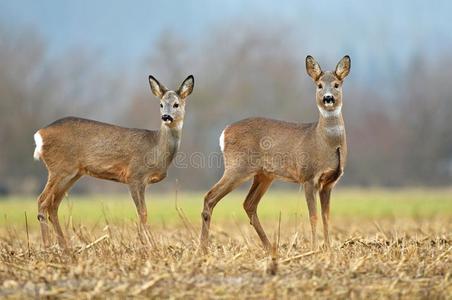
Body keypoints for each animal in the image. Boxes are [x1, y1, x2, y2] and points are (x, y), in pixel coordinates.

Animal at [33, 74, 192, 247]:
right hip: (60, 168)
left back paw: (65, 247)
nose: (166, 117)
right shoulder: (134, 175)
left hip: (72, 174)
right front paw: (149, 244)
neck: (156, 148)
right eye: (161, 104)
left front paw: (146, 242)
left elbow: (142, 213)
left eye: (176, 104)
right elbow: (143, 212)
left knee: (53, 205)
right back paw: (47, 246)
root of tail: (39, 134)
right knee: (42, 201)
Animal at [200, 55, 352, 251]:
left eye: (336, 84)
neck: (324, 142)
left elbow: (326, 217)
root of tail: (224, 132)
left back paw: (270, 247)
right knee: (210, 197)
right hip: (237, 167)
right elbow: (313, 216)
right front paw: (314, 249)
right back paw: (203, 248)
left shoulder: (329, 183)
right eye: (319, 85)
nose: (328, 98)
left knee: (249, 204)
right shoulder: (308, 177)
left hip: (264, 175)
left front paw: (329, 249)